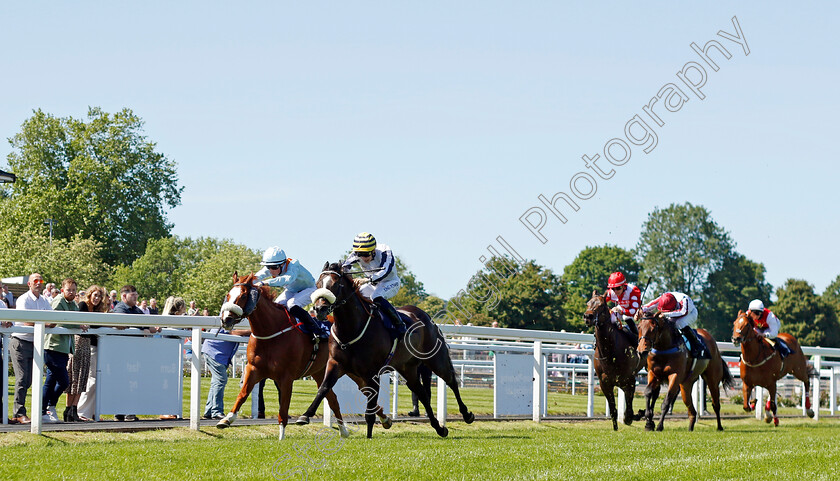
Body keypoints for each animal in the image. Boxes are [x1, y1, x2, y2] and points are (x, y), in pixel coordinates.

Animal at [213, 272, 390, 436]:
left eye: (243, 295)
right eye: (228, 295)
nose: (226, 319)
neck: (272, 332)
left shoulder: (286, 377)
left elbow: (283, 411)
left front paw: (281, 438)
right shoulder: (253, 369)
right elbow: (242, 394)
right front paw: (226, 419)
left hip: (353, 369)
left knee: (364, 389)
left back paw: (384, 419)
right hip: (322, 372)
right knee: (334, 398)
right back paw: (345, 430)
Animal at [296, 262, 472, 438]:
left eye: (335, 284)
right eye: (318, 284)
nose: (319, 309)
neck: (352, 329)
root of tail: (428, 318)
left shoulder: (372, 373)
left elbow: (369, 411)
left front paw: (369, 437)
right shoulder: (336, 363)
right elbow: (324, 388)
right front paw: (305, 416)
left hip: (435, 359)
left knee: (451, 380)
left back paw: (467, 414)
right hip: (408, 368)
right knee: (421, 392)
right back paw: (439, 427)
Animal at [580, 290, 648, 430]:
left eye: (601, 305)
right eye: (588, 303)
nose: (587, 316)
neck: (611, 352)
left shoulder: (629, 382)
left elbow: (629, 411)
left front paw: (636, 415)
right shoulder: (605, 383)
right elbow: (613, 410)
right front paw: (616, 428)